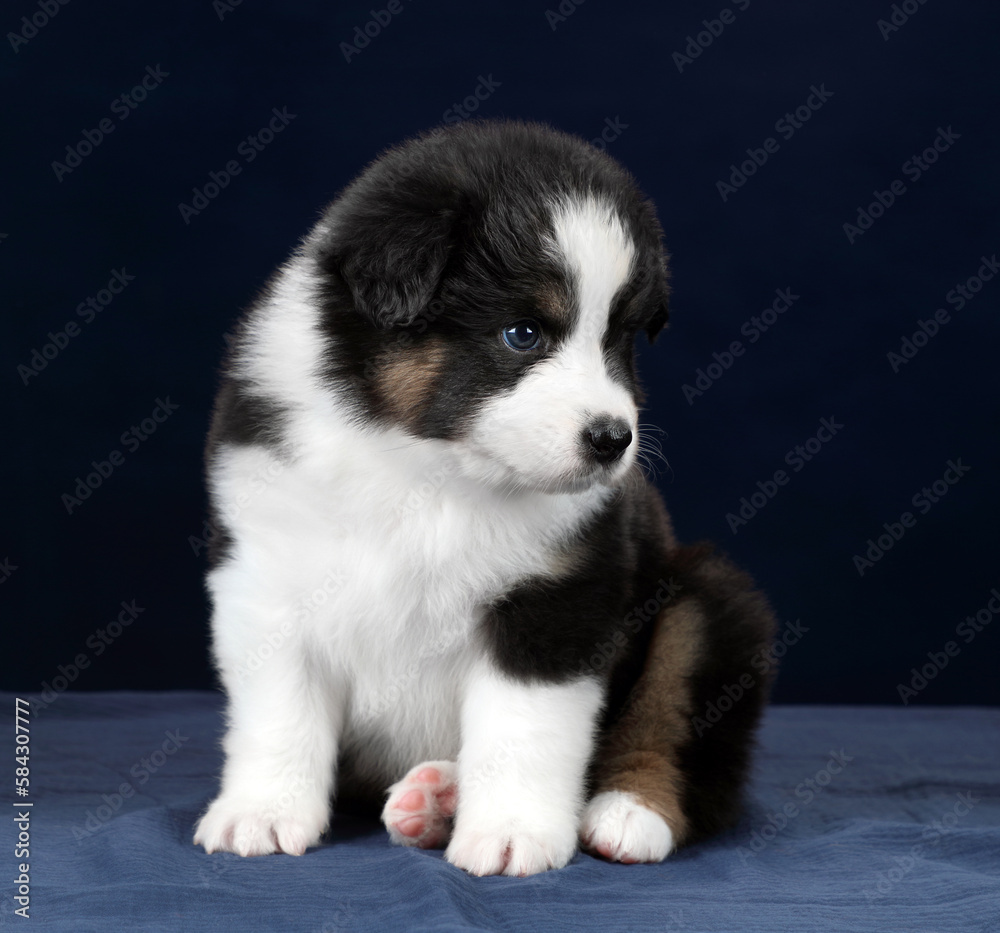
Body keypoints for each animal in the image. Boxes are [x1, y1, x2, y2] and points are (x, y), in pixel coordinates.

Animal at [191, 118, 776, 872]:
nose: (612, 438)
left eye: (620, 341)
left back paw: (627, 812)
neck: (426, 467)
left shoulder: (555, 595)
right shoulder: (265, 576)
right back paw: (435, 797)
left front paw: (510, 833)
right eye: (522, 334)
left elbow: (522, 728)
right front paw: (262, 813)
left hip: (702, 598)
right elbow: (278, 713)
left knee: (670, 719)